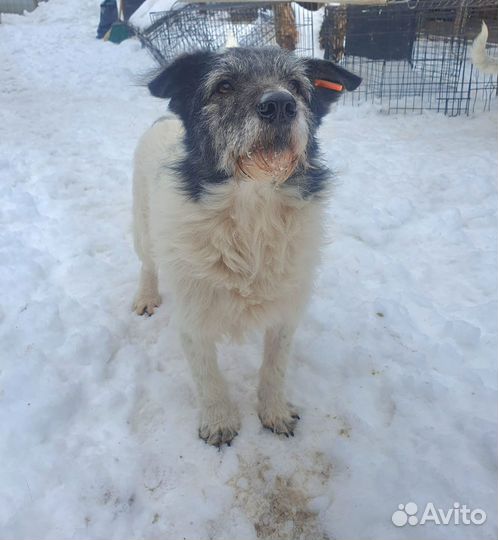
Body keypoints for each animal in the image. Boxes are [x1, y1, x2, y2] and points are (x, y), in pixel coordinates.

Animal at [130, 47, 360, 448]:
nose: (281, 104)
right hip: (144, 227)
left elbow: (274, 368)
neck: (252, 209)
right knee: (148, 263)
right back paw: (146, 297)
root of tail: (162, 119)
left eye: (296, 86)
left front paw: (274, 412)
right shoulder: (192, 312)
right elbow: (208, 375)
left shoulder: (286, 310)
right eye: (224, 86)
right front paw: (219, 421)